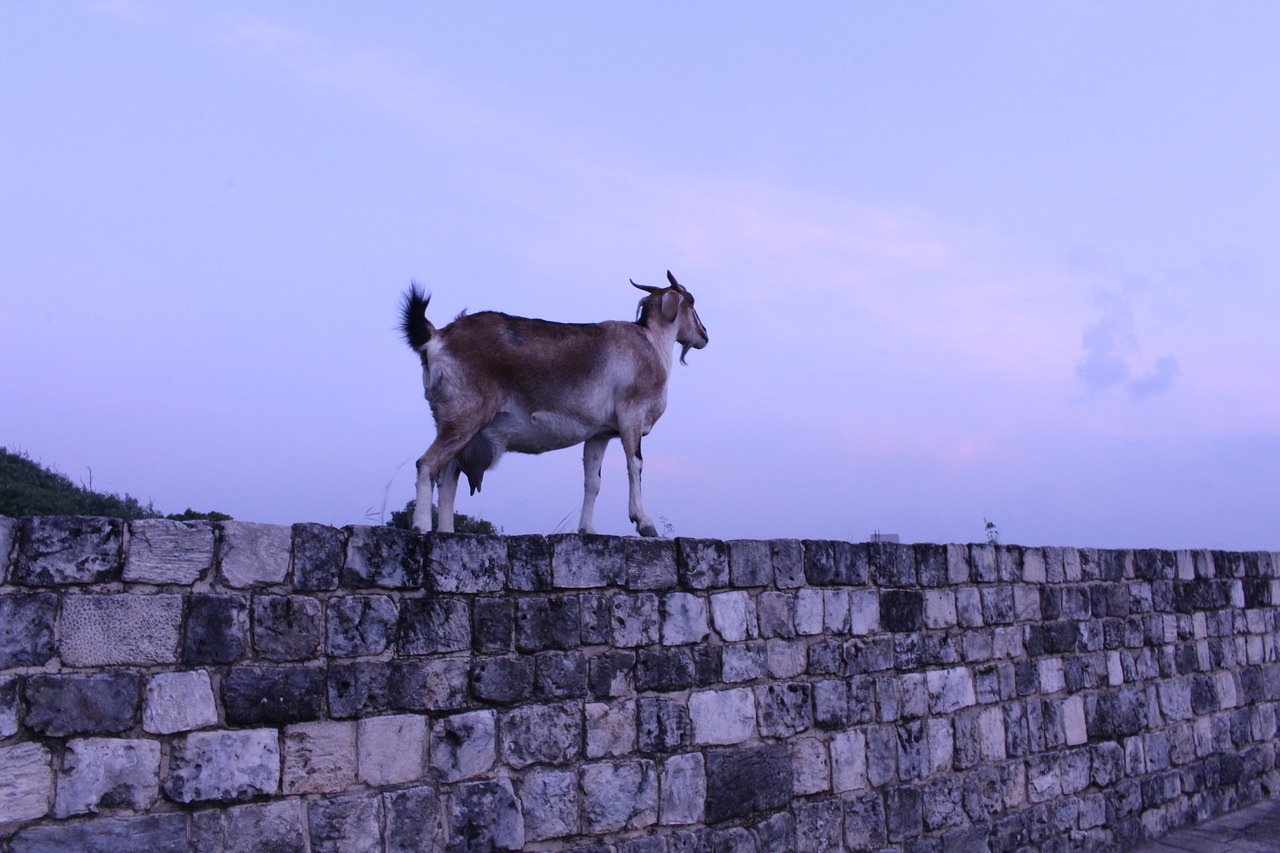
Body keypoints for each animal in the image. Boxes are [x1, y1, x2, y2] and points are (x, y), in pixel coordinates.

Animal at [396, 268, 711, 535]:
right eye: (691, 301)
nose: (704, 335)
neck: (652, 342)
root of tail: (436, 338)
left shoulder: (600, 433)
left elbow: (592, 481)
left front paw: (588, 530)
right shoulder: (631, 415)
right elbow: (635, 464)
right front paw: (644, 523)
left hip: (457, 424)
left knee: (448, 477)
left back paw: (447, 532)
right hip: (464, 415)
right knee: (428, 464)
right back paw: (421, 527)